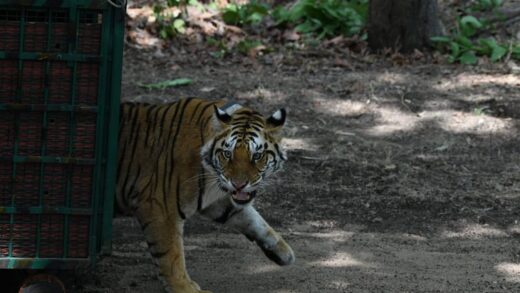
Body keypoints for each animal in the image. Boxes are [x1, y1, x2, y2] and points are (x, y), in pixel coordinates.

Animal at [118, 97, 296, 292]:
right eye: (227, 154)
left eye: (257, 156)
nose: (238, 184)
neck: (211, 174)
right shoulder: (160, 208)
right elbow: (170, 255)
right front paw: (184, 288)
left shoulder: (216, 201)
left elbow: (253, 219)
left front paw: (282, 251)